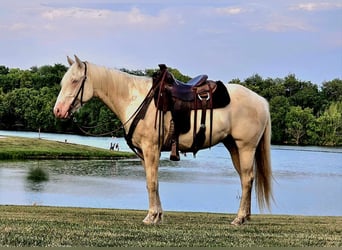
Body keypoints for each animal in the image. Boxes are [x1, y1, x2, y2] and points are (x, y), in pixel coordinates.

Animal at [53, 55, 272, 227]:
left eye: (75, 81)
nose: (58, 111)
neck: (136, 99)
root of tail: (261, 100)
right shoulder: (144, 153)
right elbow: (152, 182)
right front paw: (157, 215)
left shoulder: (151, 149)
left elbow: (152, 182)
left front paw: (151, 216)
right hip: (233, 146)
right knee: (245, 179)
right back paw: (245, 217)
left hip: (245, 147)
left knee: (247, 179)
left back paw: (239, 218)